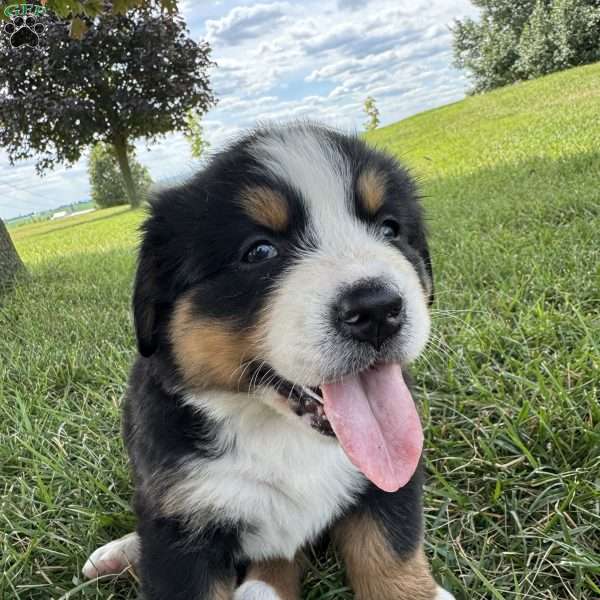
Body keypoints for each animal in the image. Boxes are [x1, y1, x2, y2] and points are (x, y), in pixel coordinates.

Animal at [81, 123, 454, 600]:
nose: (377, 310)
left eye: (390, 230)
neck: (280, 435)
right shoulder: (180, 530)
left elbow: (391, 550)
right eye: (259, 252)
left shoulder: (392, 470)